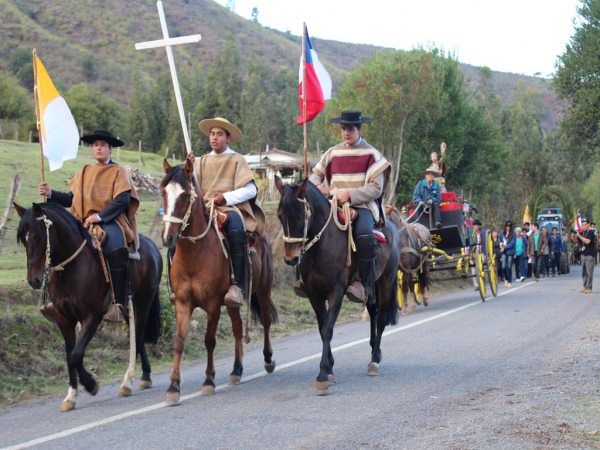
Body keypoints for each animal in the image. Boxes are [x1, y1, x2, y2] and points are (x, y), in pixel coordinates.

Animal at [14, 203, 162, 412]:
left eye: (38, 236)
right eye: (23, 239)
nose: (33, 280)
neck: (70, 270)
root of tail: (151, 246)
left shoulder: (91, 318)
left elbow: (76, 355)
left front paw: (90, 384)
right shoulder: (64, 320)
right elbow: (69, 356)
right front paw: (71, 395)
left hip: (143, 301)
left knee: (138, 336)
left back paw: (130, 380)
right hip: (128, 307)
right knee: (138, 338)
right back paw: (142, 376)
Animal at [159, 160, 276, 406]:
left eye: (185, 196)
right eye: (163, 193)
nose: (167, 237)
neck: (195, 255)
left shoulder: (212, 304)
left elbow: (209, 340)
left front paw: (209, 382)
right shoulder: (182, 304)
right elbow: (179, 342)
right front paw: (173, 388)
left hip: (262, 290)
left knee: (266, 321)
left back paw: (268, 359)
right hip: (232, 302)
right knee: (238, 327)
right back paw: (236, 370)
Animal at [276, 178, 398, 396]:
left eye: (301, 215)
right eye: (280, 215)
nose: (291, 259)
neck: (322, 245)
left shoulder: (337, 292)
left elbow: (327, 329)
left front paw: (323, 376)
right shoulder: (314, 294)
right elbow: (321, 327)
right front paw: (330, 369)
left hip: (386, 282)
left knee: (382, 318)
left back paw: (374, 361)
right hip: (371, 286)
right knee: (373, 313)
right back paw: (374, 351)